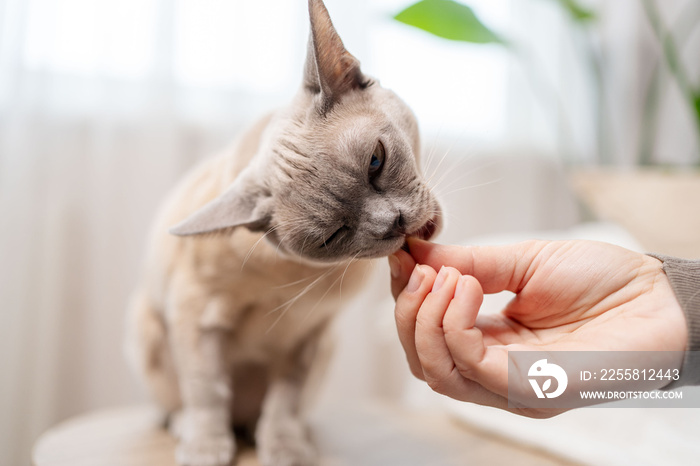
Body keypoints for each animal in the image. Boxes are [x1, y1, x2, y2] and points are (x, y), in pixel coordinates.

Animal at [124, 0, 442, 466]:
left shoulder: (308, 335)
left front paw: (284, 448)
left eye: (376, 163)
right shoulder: (194, 316)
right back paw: (197, 431)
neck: (284, 284)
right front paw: (207, 448)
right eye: (332, 236)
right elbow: (207, 391)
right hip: (145, 327)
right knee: (180, 406)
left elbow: (284, 400)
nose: (394, 224)